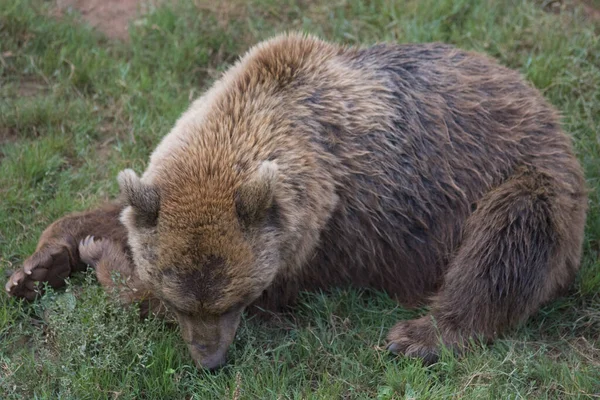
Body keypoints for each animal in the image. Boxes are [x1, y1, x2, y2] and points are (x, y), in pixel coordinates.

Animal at [4, 33, 588, 368]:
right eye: (184, 302)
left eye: (233, 300)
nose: (209, 360)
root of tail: (545, 108)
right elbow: (118, 214)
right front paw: (41, 262)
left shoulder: (330, 236)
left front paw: (101, 258)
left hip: (520, 176)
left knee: (508, 238)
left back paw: (421, 335)